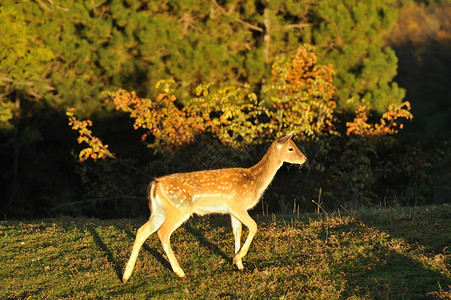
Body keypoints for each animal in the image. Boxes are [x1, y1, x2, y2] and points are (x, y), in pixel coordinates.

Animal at [122, 131, 308, 282]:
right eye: (291, 148)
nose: (304, 158)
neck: (254, 181)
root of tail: (156, 184)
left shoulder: (232, 210)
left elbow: (237, 232)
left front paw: (239, 263)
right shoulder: (238, 205)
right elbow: (254, 226)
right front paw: (237, 259)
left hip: (159, 211)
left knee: (141, 231)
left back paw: (125, 276)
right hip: (179, 208)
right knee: (162, 233)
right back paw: (180, 272)